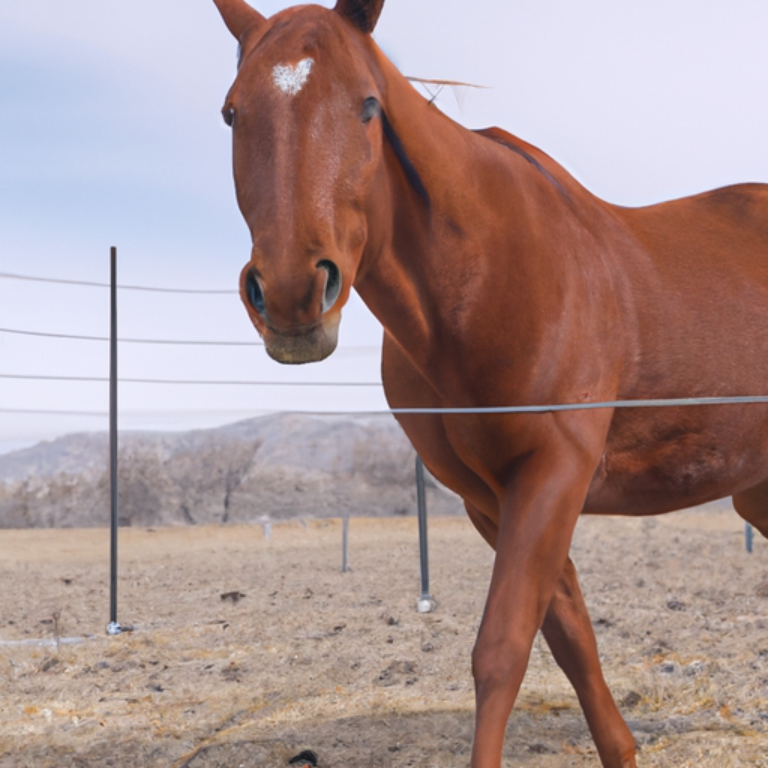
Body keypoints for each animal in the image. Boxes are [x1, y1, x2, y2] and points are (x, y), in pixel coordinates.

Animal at [210, 3, 768, 764]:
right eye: (233, 112)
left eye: (367, 106)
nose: (294, 294)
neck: (482, 280)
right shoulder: (491, 498)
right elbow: (568, 635)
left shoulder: (553, 473)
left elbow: (501, 649)